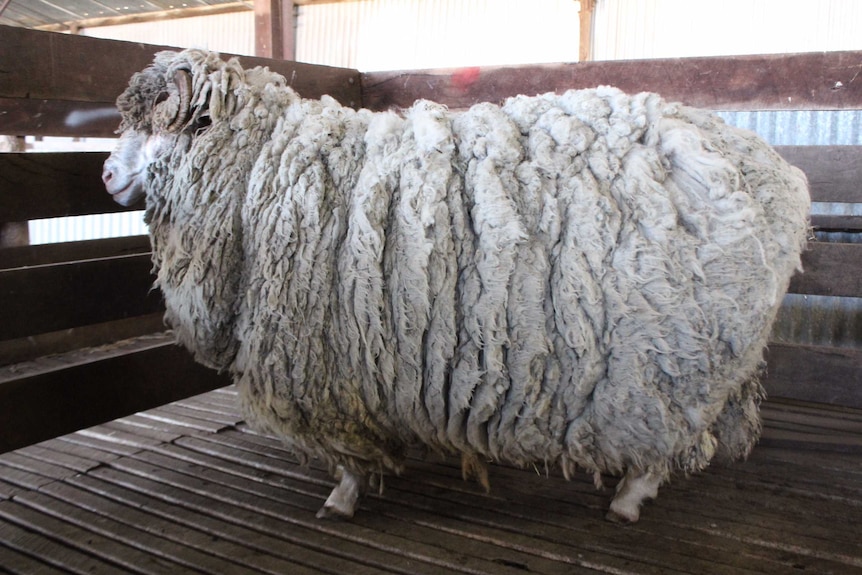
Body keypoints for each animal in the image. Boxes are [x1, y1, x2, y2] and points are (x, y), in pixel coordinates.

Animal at [101, 49, 808, 524]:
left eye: (164, 124)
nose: (105, 174)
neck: (260, 171)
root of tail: (777, 173)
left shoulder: (320, 361)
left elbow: (348, 454)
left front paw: (343, 498)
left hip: (669, 364)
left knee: (667, 439)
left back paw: (629, 500)